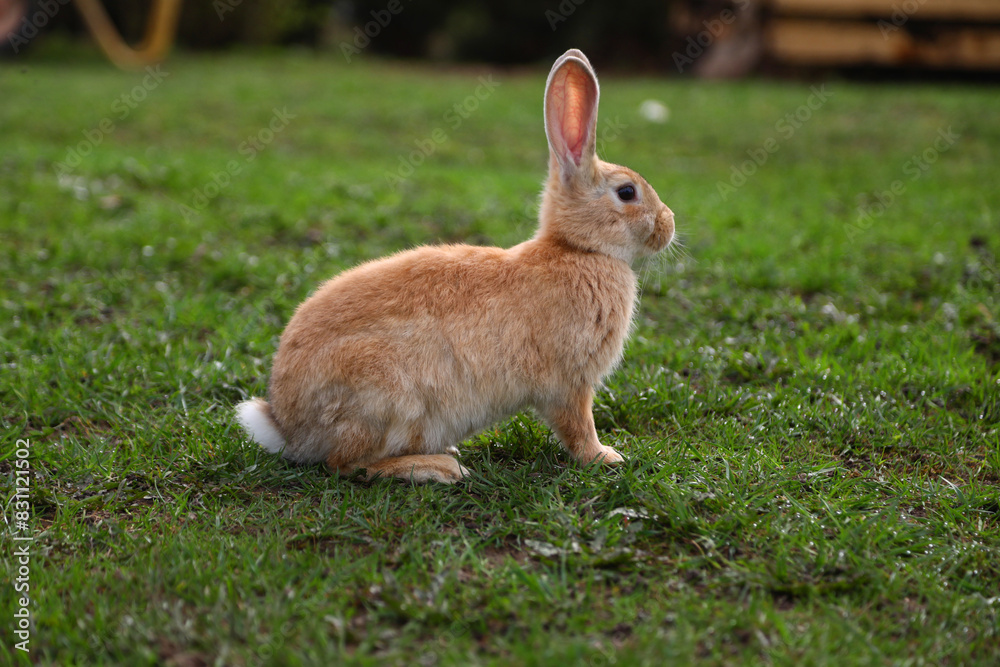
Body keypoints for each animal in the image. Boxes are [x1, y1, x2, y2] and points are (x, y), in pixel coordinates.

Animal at [236, 49, 675, 483]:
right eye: (627, 193)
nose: (668, 225)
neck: (579, 250)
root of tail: (288, 427)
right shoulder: (570, 384)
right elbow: (578, 426)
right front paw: (606, 457)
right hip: (383, 394)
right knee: (346, 463)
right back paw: (439, 468)